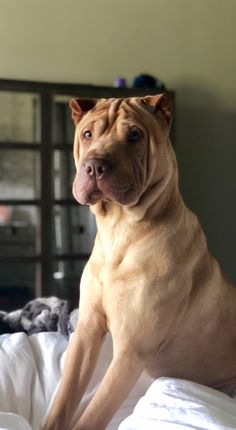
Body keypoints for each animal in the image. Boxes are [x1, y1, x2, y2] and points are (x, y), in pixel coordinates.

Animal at [42, 94, 236, 430]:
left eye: (134, 136)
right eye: (88, 134)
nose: (95, 166)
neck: (120, 229)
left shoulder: (130, 352)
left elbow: (94, 414)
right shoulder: (87, 333)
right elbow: (64, 399)